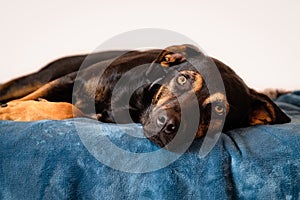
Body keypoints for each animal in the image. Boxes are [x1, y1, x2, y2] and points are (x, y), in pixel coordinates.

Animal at [0, 45, 290, 148]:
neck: (138, 104)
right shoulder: (72, 80)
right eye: (183, 79)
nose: (167, 124)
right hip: (40, 77)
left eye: (219, 111)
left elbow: (69, 109)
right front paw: (15, 110)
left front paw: (21, 111)